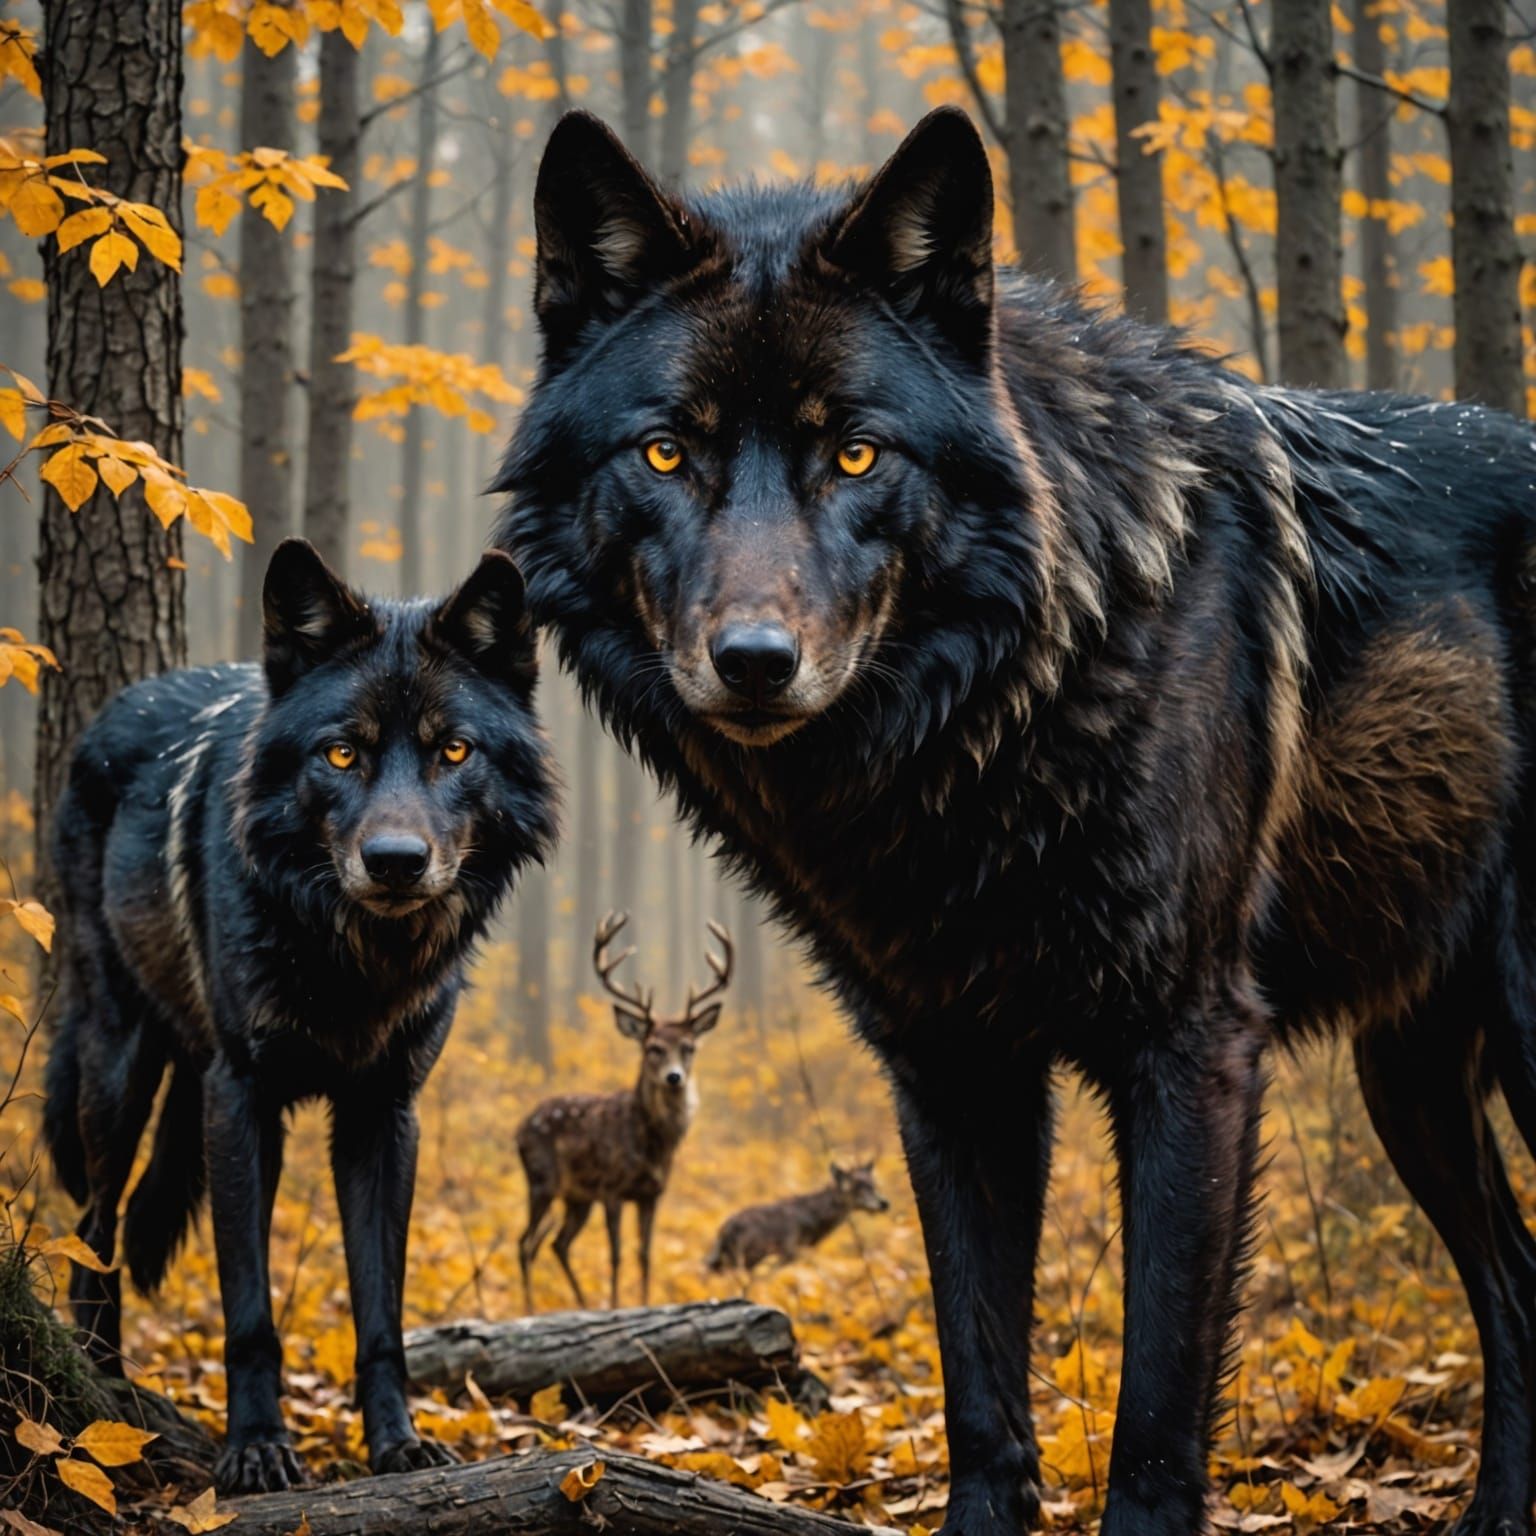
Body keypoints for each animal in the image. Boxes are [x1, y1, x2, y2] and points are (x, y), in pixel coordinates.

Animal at [44, 539, 555, 1493]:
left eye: (453, 750)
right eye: (343, 754)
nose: (395, 861)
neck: (352, 962)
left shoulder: (383, 1116)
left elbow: (383, 1313)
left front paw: (397, 1445)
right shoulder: (242, 1097)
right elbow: (249, 1310)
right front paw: (255, 1447)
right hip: (119, 1070)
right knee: (94, 1232)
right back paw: (106, 1390)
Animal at [516, 912, 732, 1311]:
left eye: (689, 1046)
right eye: (653, 1047)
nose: (675, 1077)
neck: (651, 1145)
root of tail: (519, 1128)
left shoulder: (652, 1194)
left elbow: (644, 1255)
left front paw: (643, 1304)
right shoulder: (612, 1188)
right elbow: (615, 1255)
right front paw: (617, 1307)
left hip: (577, 1198)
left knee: (556, 1244)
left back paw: (583, 1305)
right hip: (542, 1179)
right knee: (525, 1243)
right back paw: (531, 1309)